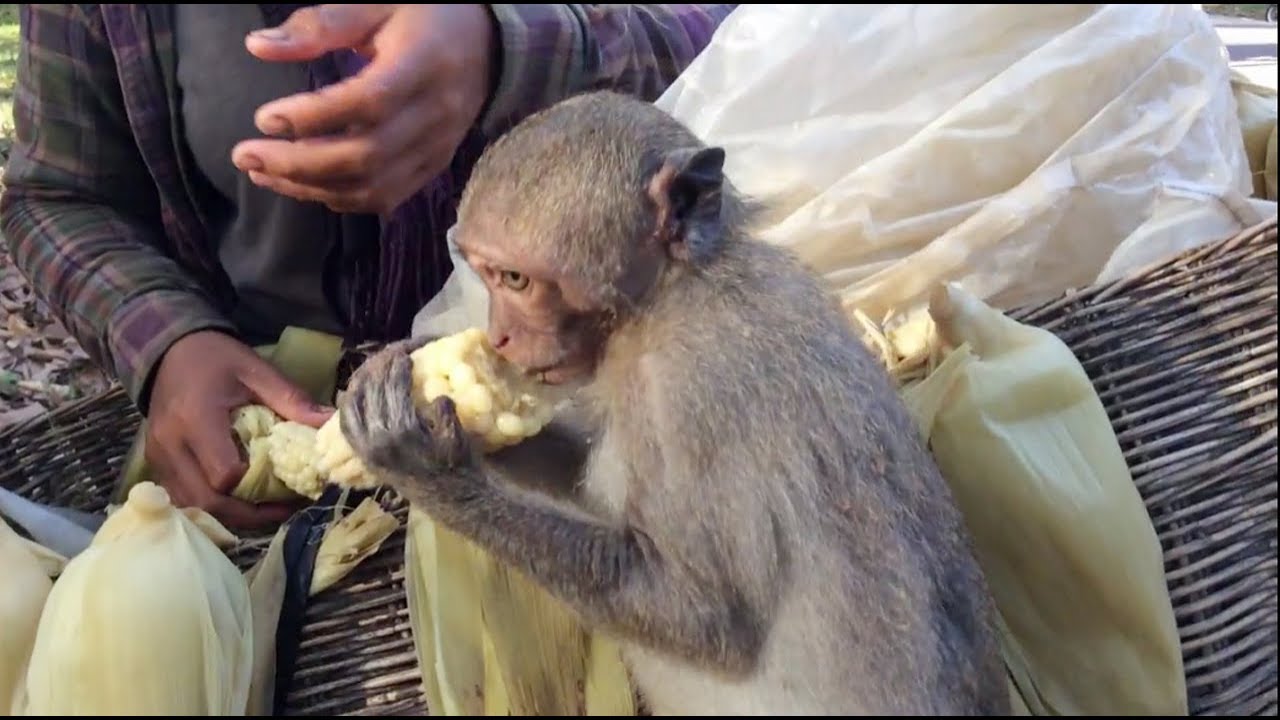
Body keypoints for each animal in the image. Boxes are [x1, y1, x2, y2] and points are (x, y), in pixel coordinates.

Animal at [338, 90, 1011, 716]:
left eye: (515, 280)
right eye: (483, 275)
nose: (499, 337)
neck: (669, 295)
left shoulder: (696, 391)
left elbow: (704, 619)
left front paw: (423, 465)